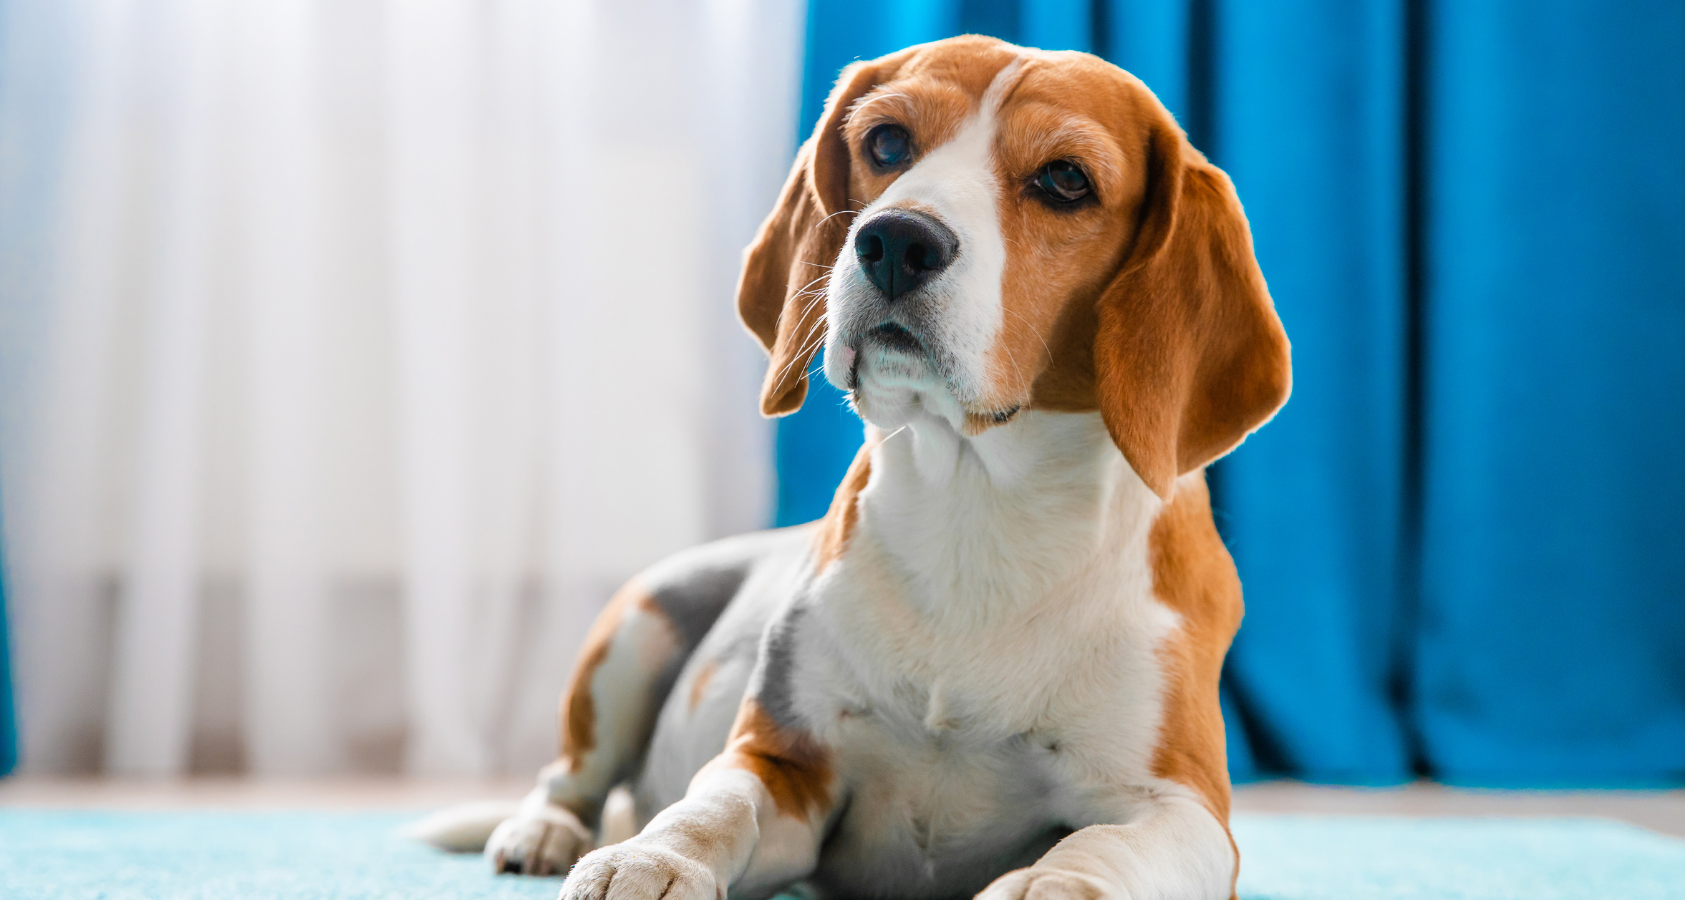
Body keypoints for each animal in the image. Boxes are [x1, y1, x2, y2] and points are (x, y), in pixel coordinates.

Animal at [421, 33, 1287, 900]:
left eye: (1066, 180)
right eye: (887, 143)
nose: (896, 240)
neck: (977, 510)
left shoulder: (1178, 803)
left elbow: (1096, 850)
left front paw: (1046, 885)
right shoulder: (783, 760)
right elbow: (710, 808)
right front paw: (652, 860)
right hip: (632, 632)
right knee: (570, 778)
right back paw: (541, 832)